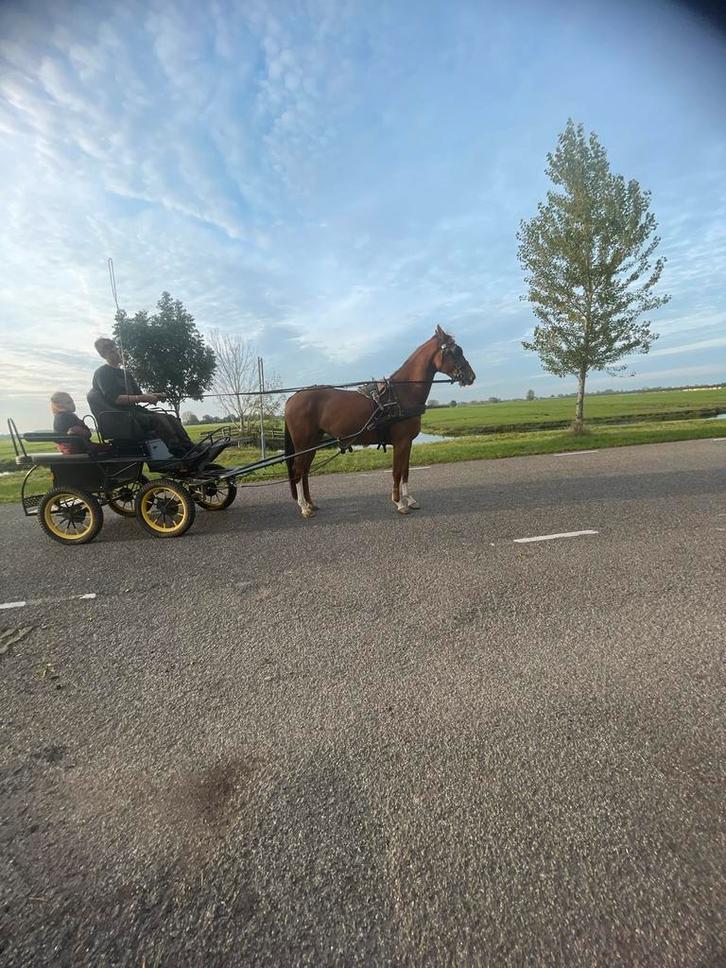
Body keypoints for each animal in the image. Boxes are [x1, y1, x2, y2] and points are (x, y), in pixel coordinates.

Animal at [284, 325, 476, 517]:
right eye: (456, 351)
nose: (471, 376)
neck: (401, 393)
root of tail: (292, 398)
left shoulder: (408, 443)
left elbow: (405, 471)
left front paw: (410, 499)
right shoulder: (401, 442)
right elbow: (397, 472)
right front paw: (399, 503)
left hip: (312, 443)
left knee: (305, 471)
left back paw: (311, 503)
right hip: (303, 443)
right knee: (298, 470)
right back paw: (304, 507)